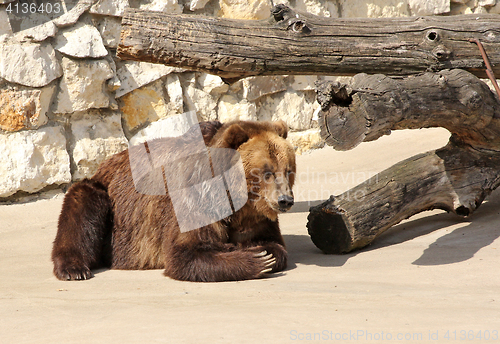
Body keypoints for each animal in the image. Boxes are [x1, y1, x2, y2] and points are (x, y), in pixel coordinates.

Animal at [53, 119, 296, 280]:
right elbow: (185, 253)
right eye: (266, 171)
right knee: (82, 205)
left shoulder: (255, 216)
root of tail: (107, 162)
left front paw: (263, 251)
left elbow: (274, 244)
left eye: (288, 170)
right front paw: (255, 258)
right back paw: (74, 269)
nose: (285, 200)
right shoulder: (196, 198)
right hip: (109, 202)